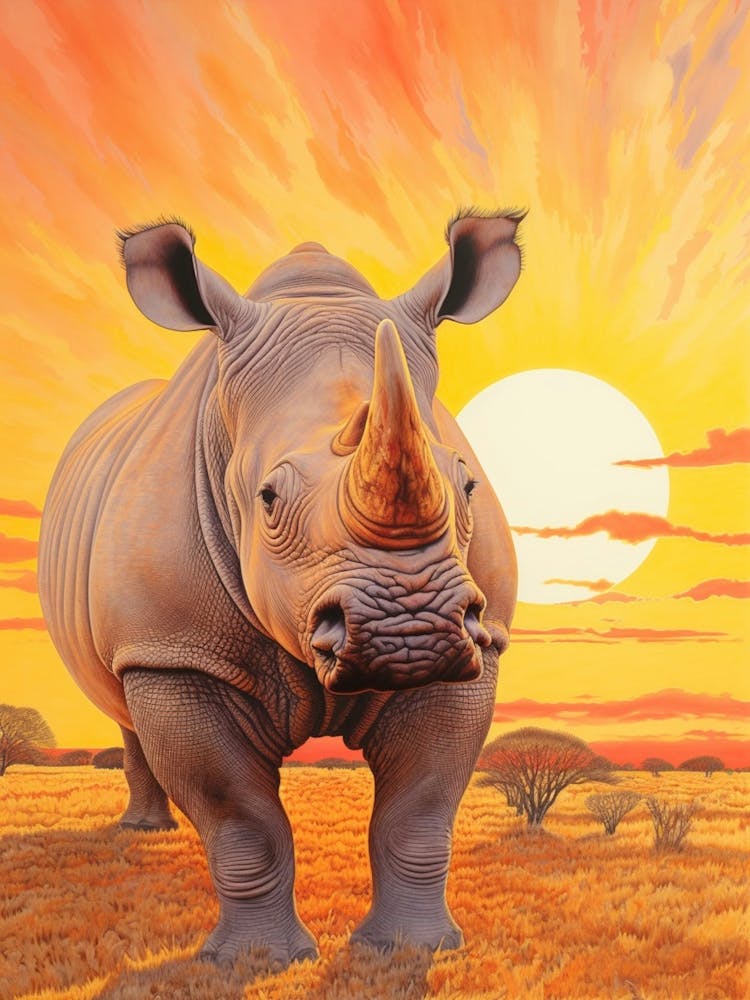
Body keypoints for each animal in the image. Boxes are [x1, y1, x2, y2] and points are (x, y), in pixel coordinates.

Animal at [38, 209, 521, 967]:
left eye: (467, 484)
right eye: (267, 499)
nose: (409, 632)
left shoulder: (481, 639)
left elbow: (420, 808)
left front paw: (413, 951)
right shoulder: (174, 649)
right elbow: (242, 818)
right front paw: (256, 962)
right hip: (138, 636)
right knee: (123, 701)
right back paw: (144, 835)